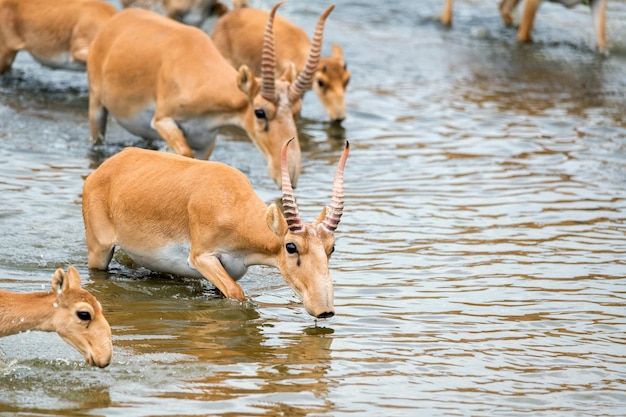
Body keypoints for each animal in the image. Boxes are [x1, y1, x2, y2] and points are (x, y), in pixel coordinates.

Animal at [80, 138, 348, 316]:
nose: (324, 309)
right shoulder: (202, 257)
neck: (232, 204)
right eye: (291, 246)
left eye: (331, 247)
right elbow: (238, 293)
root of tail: (104, 169)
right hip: (99, 251)